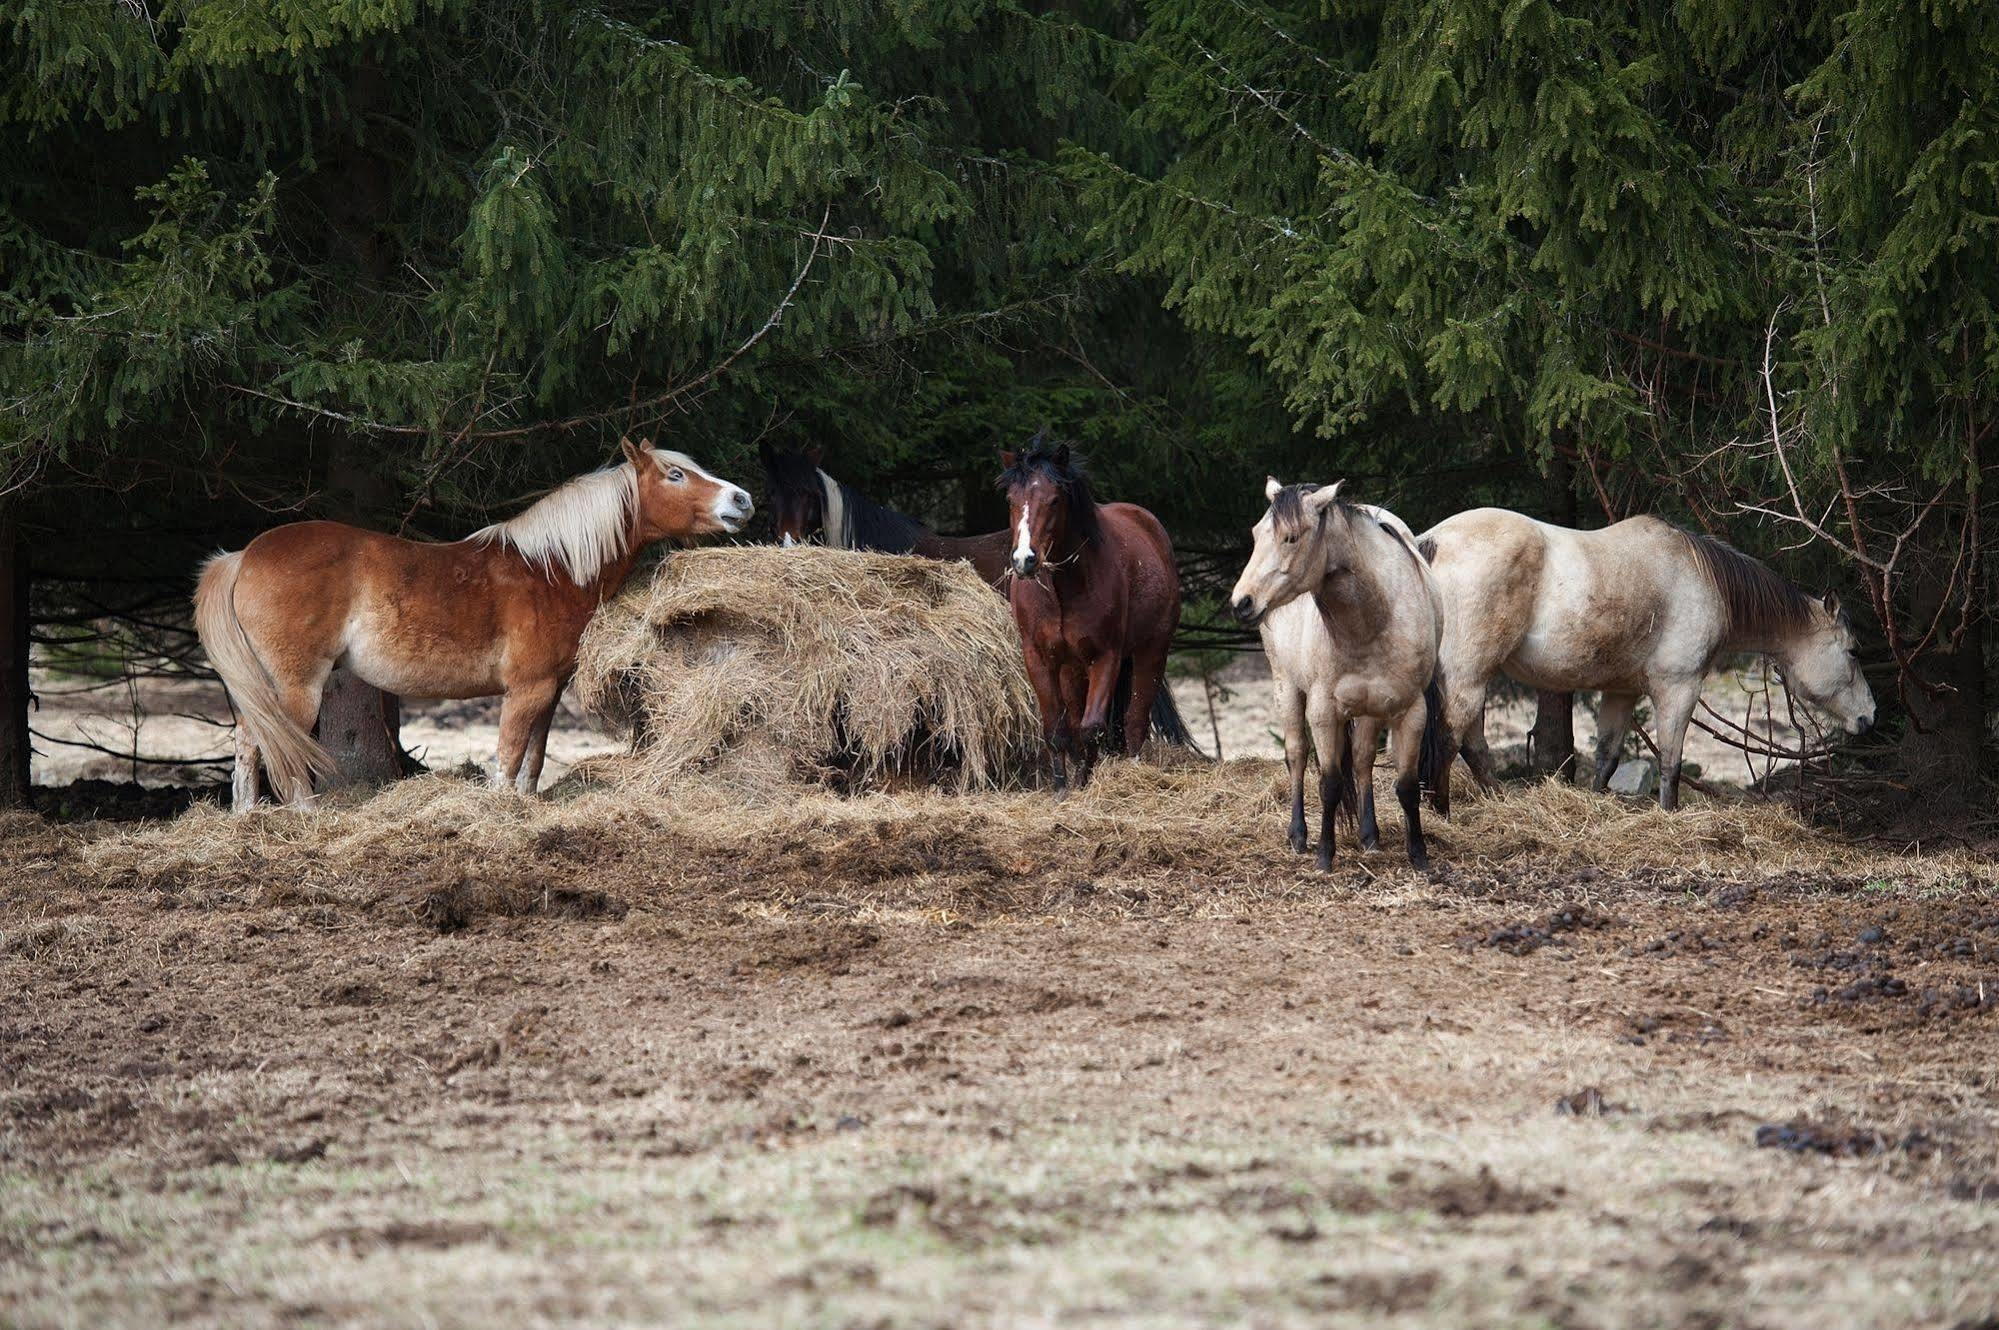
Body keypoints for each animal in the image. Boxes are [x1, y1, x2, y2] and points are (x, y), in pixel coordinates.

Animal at [198, 440, 751, 804]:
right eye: (675, 475)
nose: (741, 500)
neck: (551, 569)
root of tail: (244, 557)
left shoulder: (549, 691)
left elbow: (533, 760)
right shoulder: (525, 689)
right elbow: (507, 759)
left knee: (247, 747)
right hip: (296, 687)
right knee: (284, 758)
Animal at [995, 440, 1175, 788]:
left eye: (1054, 500)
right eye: (1011, 500)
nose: (1024, 560)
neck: (1063, 589)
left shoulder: (1106, 656)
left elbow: (1092, 728)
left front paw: (1085, 781)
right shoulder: (1038, 657)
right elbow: (1057, 729)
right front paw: (1063, 788)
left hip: (1152, 652)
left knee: (1134, 720)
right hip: (1072, 669)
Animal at [1223, 478, 1447, 872]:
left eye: (1291, 537)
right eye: (1255, 534)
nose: (1242, 603)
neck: (1374, 619)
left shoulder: (1410, 711)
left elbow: (1405, 786)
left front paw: (1419, 855)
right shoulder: (1323, 711)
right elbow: (1329, 784)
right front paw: (1325, 856)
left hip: (1372, 709)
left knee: (1362, 760)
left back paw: (1370, 837)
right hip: (1286, 688)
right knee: (1297, 755)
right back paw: (1298, 836)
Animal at [1423, 506, 1871, 808]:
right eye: (1852, 651)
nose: (1869, 716)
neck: (1701, 578)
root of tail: (1434, 541)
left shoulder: (1622, 692)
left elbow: (1607, 758)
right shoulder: (1679, 688)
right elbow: (1671, 763)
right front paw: (1668, 814)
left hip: (1472, 678)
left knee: (1472, 745)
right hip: (1469, 677)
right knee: (1449, 739)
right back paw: (1441, 811)